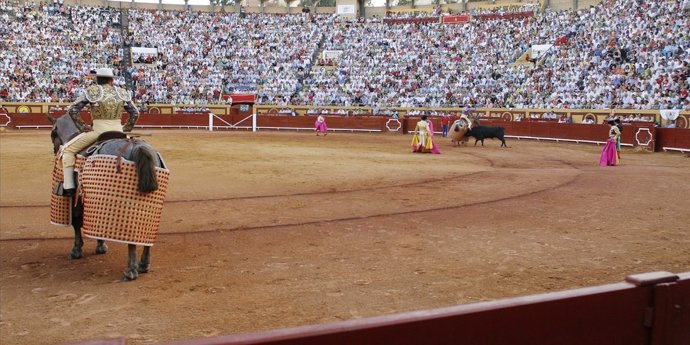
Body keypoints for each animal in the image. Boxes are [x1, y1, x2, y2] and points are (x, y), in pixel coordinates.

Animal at [48, 113, 167, 280]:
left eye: (53, 134)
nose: (55, 150)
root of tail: (136, 146)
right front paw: (101, 246)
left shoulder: (75, 197)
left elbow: (77, 222)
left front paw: (76, 250)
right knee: (145, 232)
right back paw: (143, 265)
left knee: (131, 237)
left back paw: (130, 270)